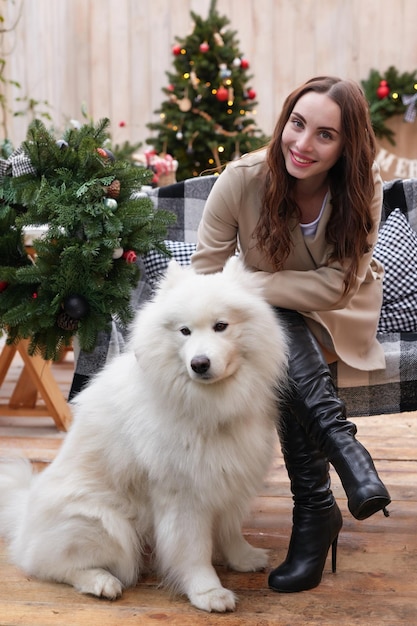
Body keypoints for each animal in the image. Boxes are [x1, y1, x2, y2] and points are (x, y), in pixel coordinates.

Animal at [0, 256, 288, 612]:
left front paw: (243, 558)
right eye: (184, 331)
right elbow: (194, 551)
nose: (200, 363)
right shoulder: (184, 494)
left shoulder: (229, 477)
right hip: (104, 524)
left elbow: (230, 529)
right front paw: (208, 592)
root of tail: (24, 517)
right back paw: (102, 582)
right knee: (51, 565)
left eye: (221, 326)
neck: (208, 404)